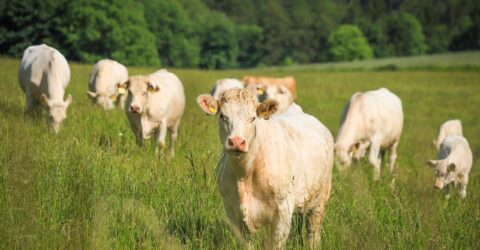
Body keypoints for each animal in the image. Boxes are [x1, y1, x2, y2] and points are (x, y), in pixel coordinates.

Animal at [195, 88, 334, 248]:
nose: (236, 142)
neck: (244, 175)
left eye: (253, 118)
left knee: (313, 233)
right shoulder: (232, 210)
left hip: (321, 199)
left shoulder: (283, 211)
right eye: (223, 116)